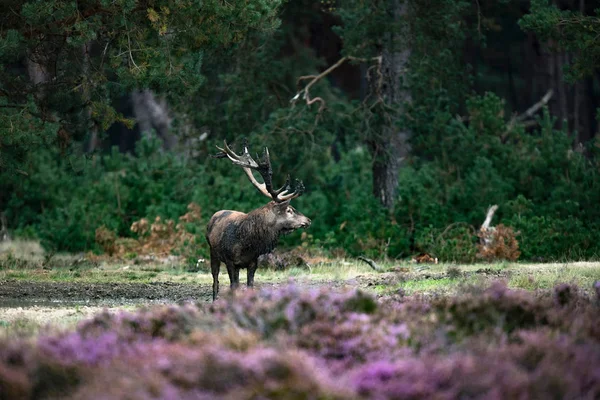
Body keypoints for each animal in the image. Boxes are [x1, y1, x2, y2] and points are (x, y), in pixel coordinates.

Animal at [206, 141, 312, 300]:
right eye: (289, 210)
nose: (308, 220)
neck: (246, 243)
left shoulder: (253, 262)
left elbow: (250, 286)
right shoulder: (231, 262)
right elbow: (234, 287)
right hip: (213, 252)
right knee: (215, 280)